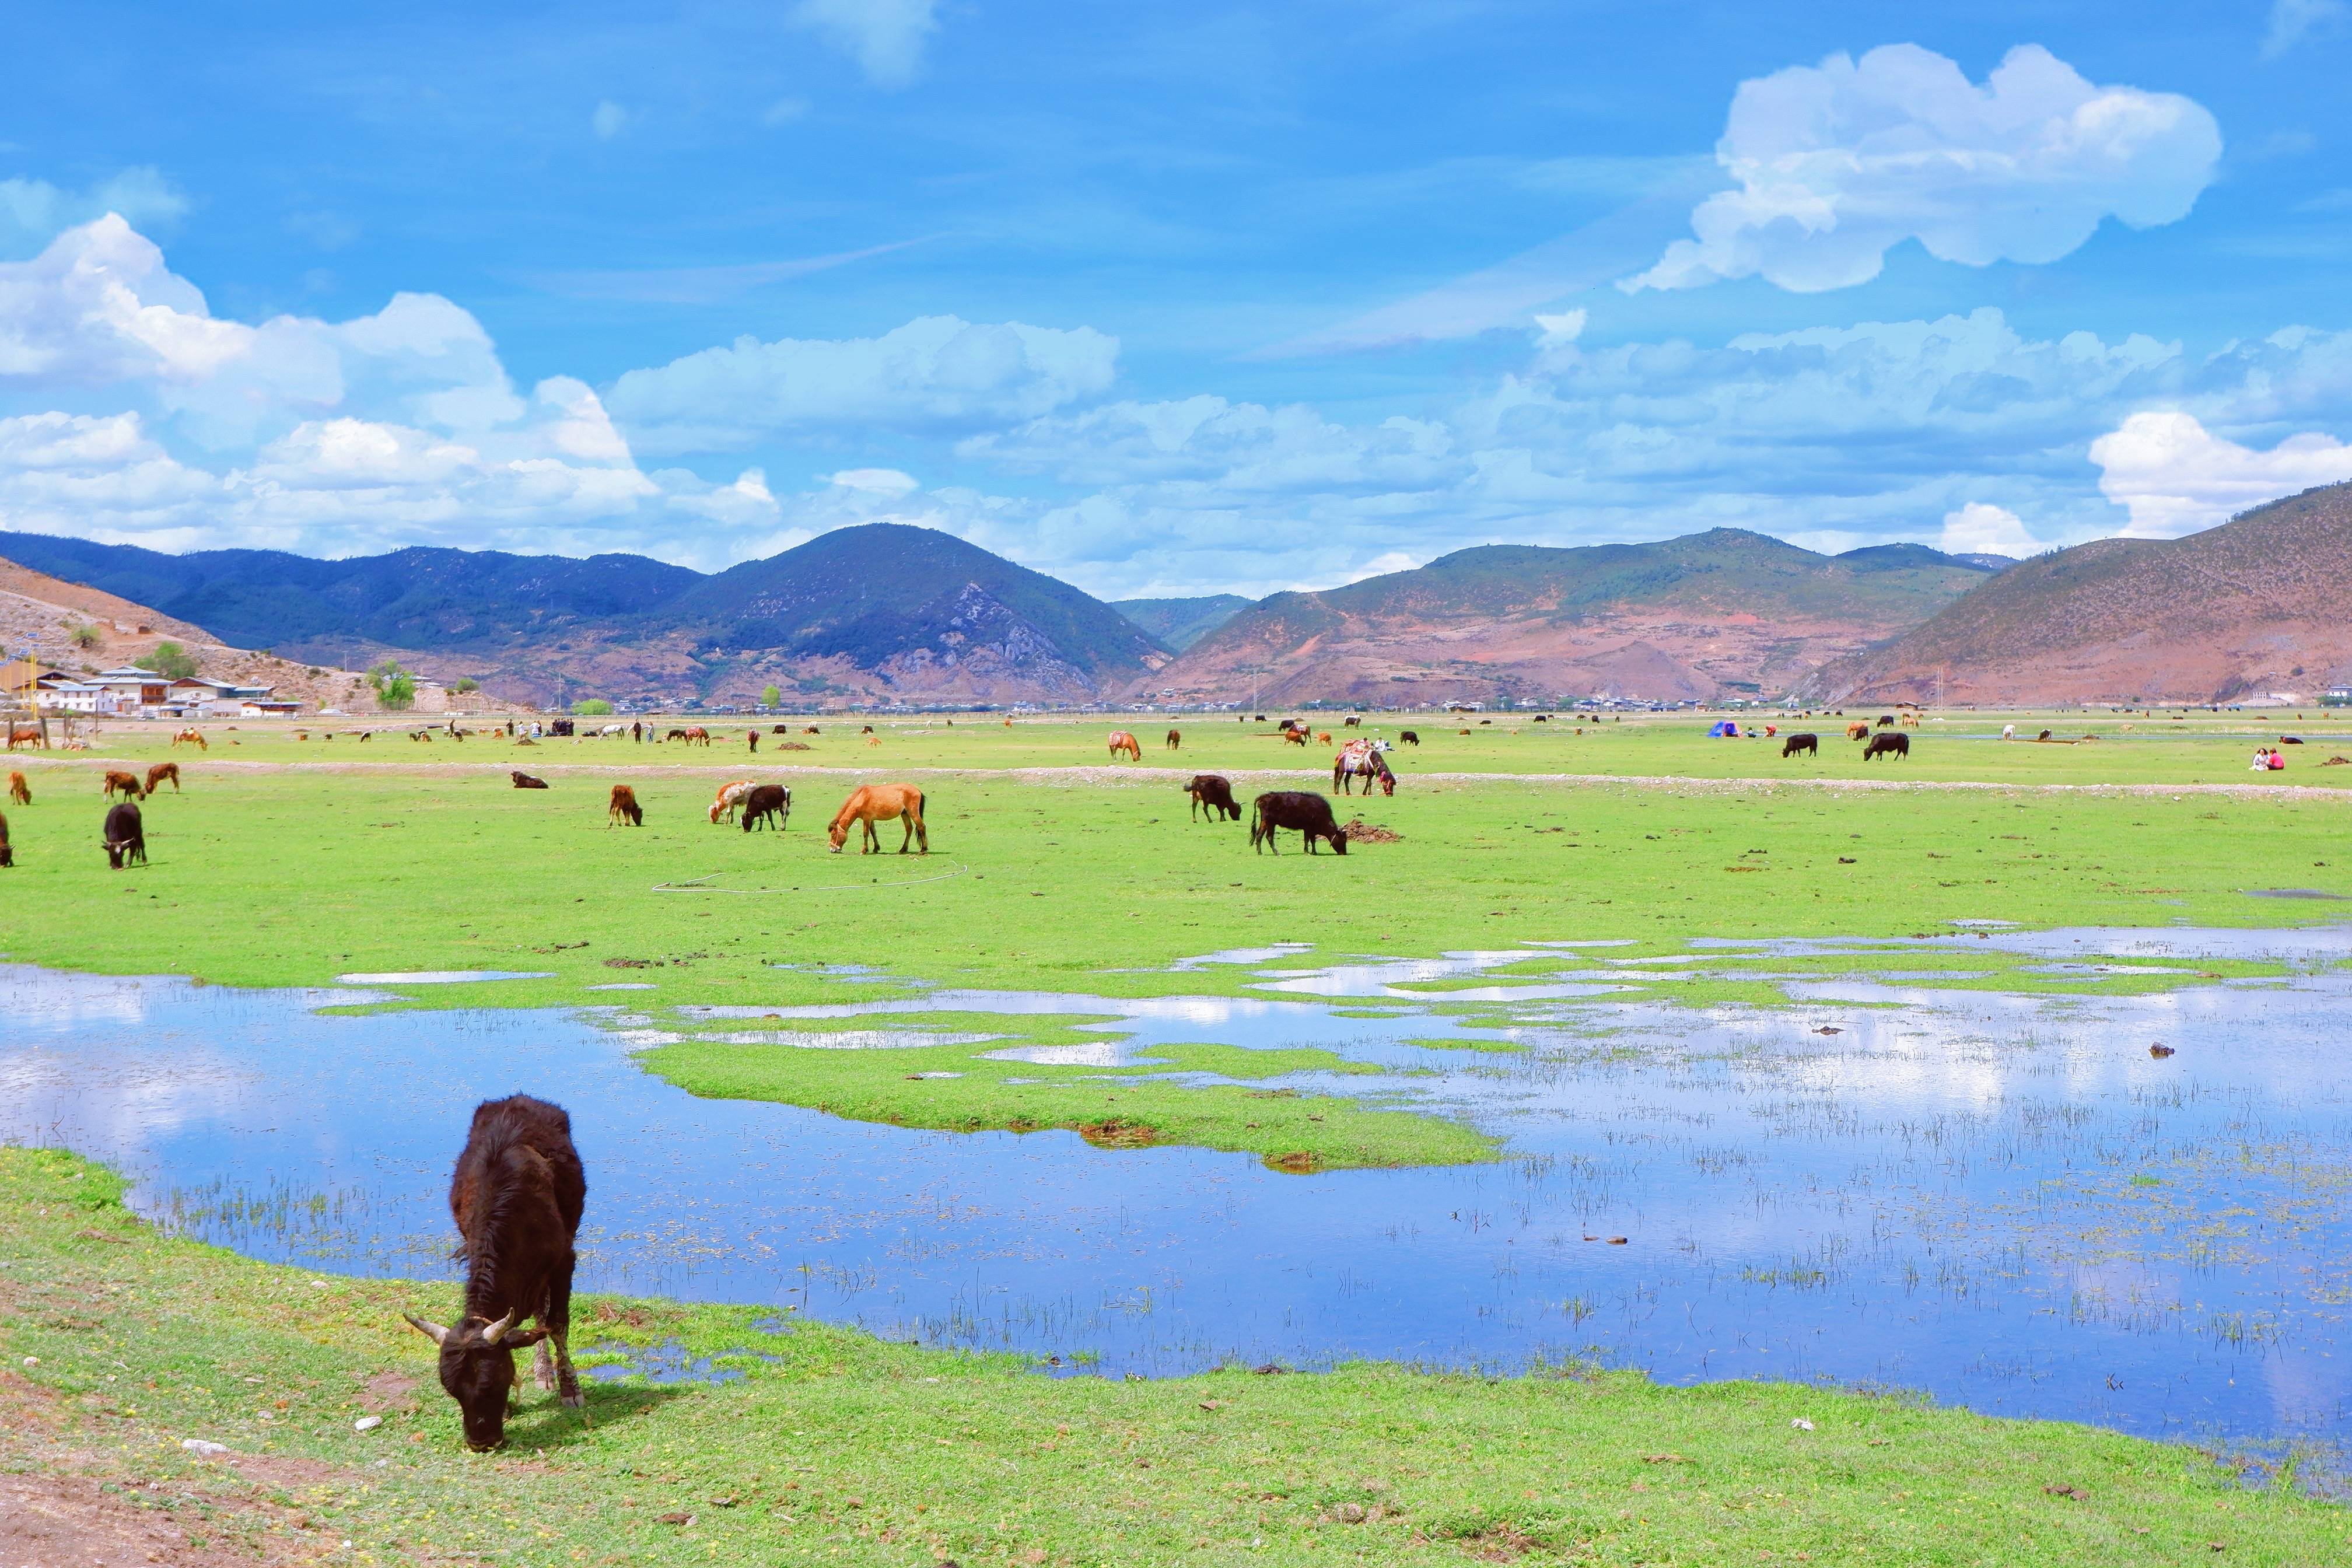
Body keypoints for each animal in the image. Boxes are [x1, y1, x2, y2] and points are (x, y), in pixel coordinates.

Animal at [404, 1100, 588, 1457]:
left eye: (494, 1383)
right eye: (451, 1390)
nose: (481, 1442)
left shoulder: (564, 1261)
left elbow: (557, 1324)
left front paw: (570, 1389)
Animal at [828, 785, 926, 860]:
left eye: (833, 835)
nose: (832, 850)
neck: (862, 798)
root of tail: (918, 791)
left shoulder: (867, 819)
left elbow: (866, 834)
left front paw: (864, 851)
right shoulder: (871, 820)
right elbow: (873, 833)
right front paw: (876, 848)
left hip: (913, 813)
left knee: (922, 827)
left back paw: (923, 850)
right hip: (905, 814)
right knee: (909, 829)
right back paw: (903, 850)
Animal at [1241, 799, 1354, 860]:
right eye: (1343, 840)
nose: (1344, 853)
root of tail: (1264, 797)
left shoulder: (1312, 831)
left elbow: (1313, 841)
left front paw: (1314, 852)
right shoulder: (1307, 829)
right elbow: (1307, 840)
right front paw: (1307, 852)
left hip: (1265, 822)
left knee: (1259, 834)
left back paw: (1260, 852)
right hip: (1270, 823)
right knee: (1269, 837)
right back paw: (1277, 853)